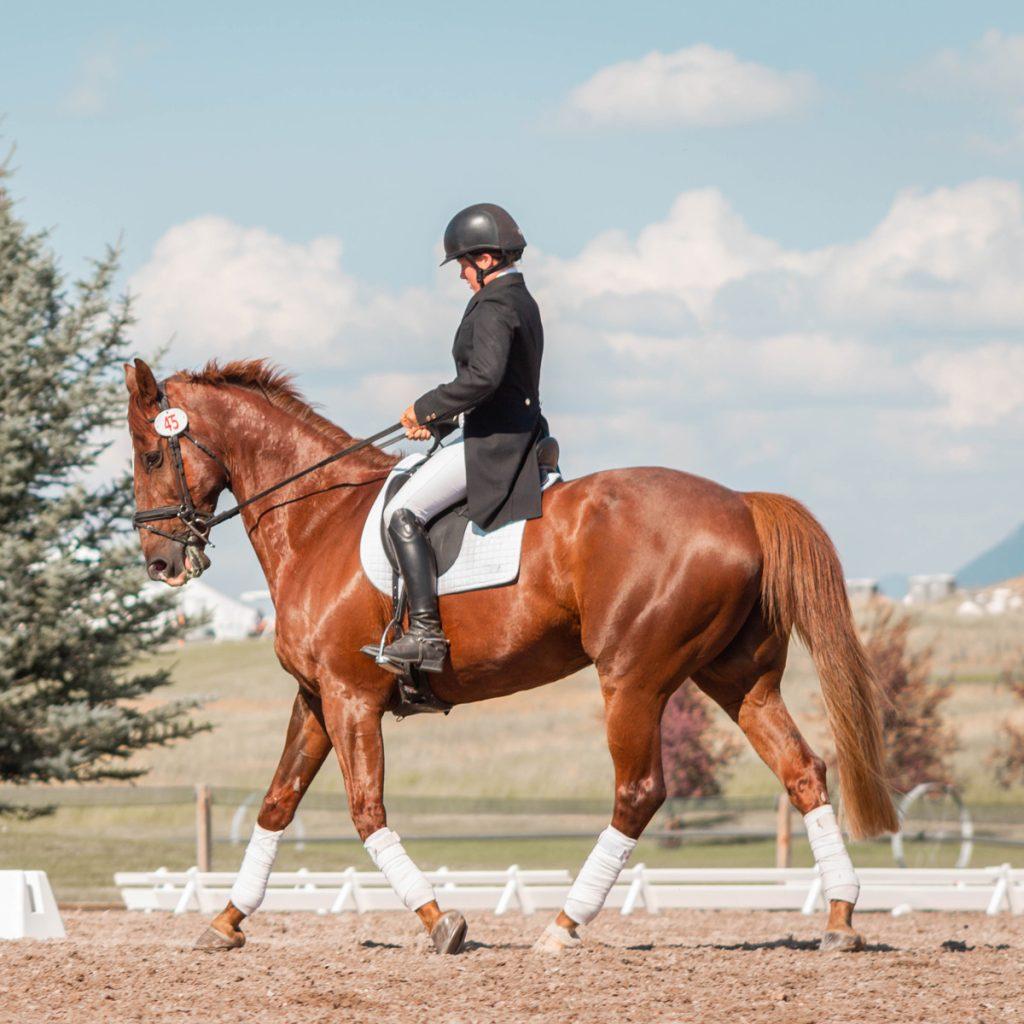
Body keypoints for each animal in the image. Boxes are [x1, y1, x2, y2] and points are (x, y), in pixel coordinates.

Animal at [125, 356, 898, 955]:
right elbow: (278, 802)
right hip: (739, 679)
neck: (318, 519)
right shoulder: (317, 697)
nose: (160, 563)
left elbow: (366, 810)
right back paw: (840, 918)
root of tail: (740, 504)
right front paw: (226, 922)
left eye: (152, 453)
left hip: (633, 679)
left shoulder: (350, 697)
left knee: (639, 792)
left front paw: (441, 921)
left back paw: (563, 925)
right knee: (802, 771)